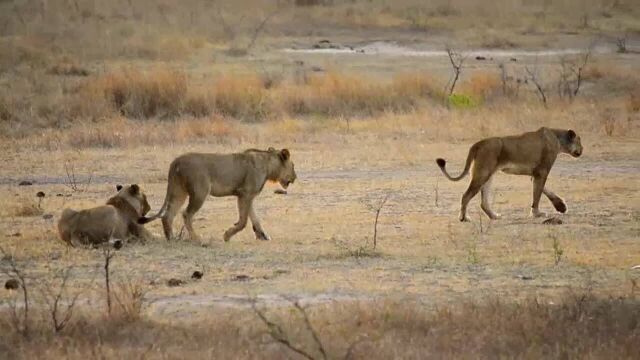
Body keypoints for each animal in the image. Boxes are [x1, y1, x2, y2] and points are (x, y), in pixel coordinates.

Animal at [139, 146, 296, 242]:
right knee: (186, 214)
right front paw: (227, 236)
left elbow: (254, 218)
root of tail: (175, 161)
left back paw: (171, 239)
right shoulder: (245, 194)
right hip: (200, 192)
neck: (268, 165)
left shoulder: (247, 196)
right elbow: (243, 221)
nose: (295, 177)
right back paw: (196, 239)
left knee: (168, 215)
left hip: (179, 191)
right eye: (293, 165)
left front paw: (262, 235)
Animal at [438, 126, 584, 222]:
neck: (558, 139)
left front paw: (561, 206)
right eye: (579, 141)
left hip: (488, 176)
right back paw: (464, 218)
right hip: (482, 174)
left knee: (483, 202)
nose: (582, 150)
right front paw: (537, 213)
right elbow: (537, 194)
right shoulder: (542, 171)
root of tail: (478, 143)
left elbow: (542, 189)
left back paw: (494, 216)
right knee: (465, 196)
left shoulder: (536, 173)